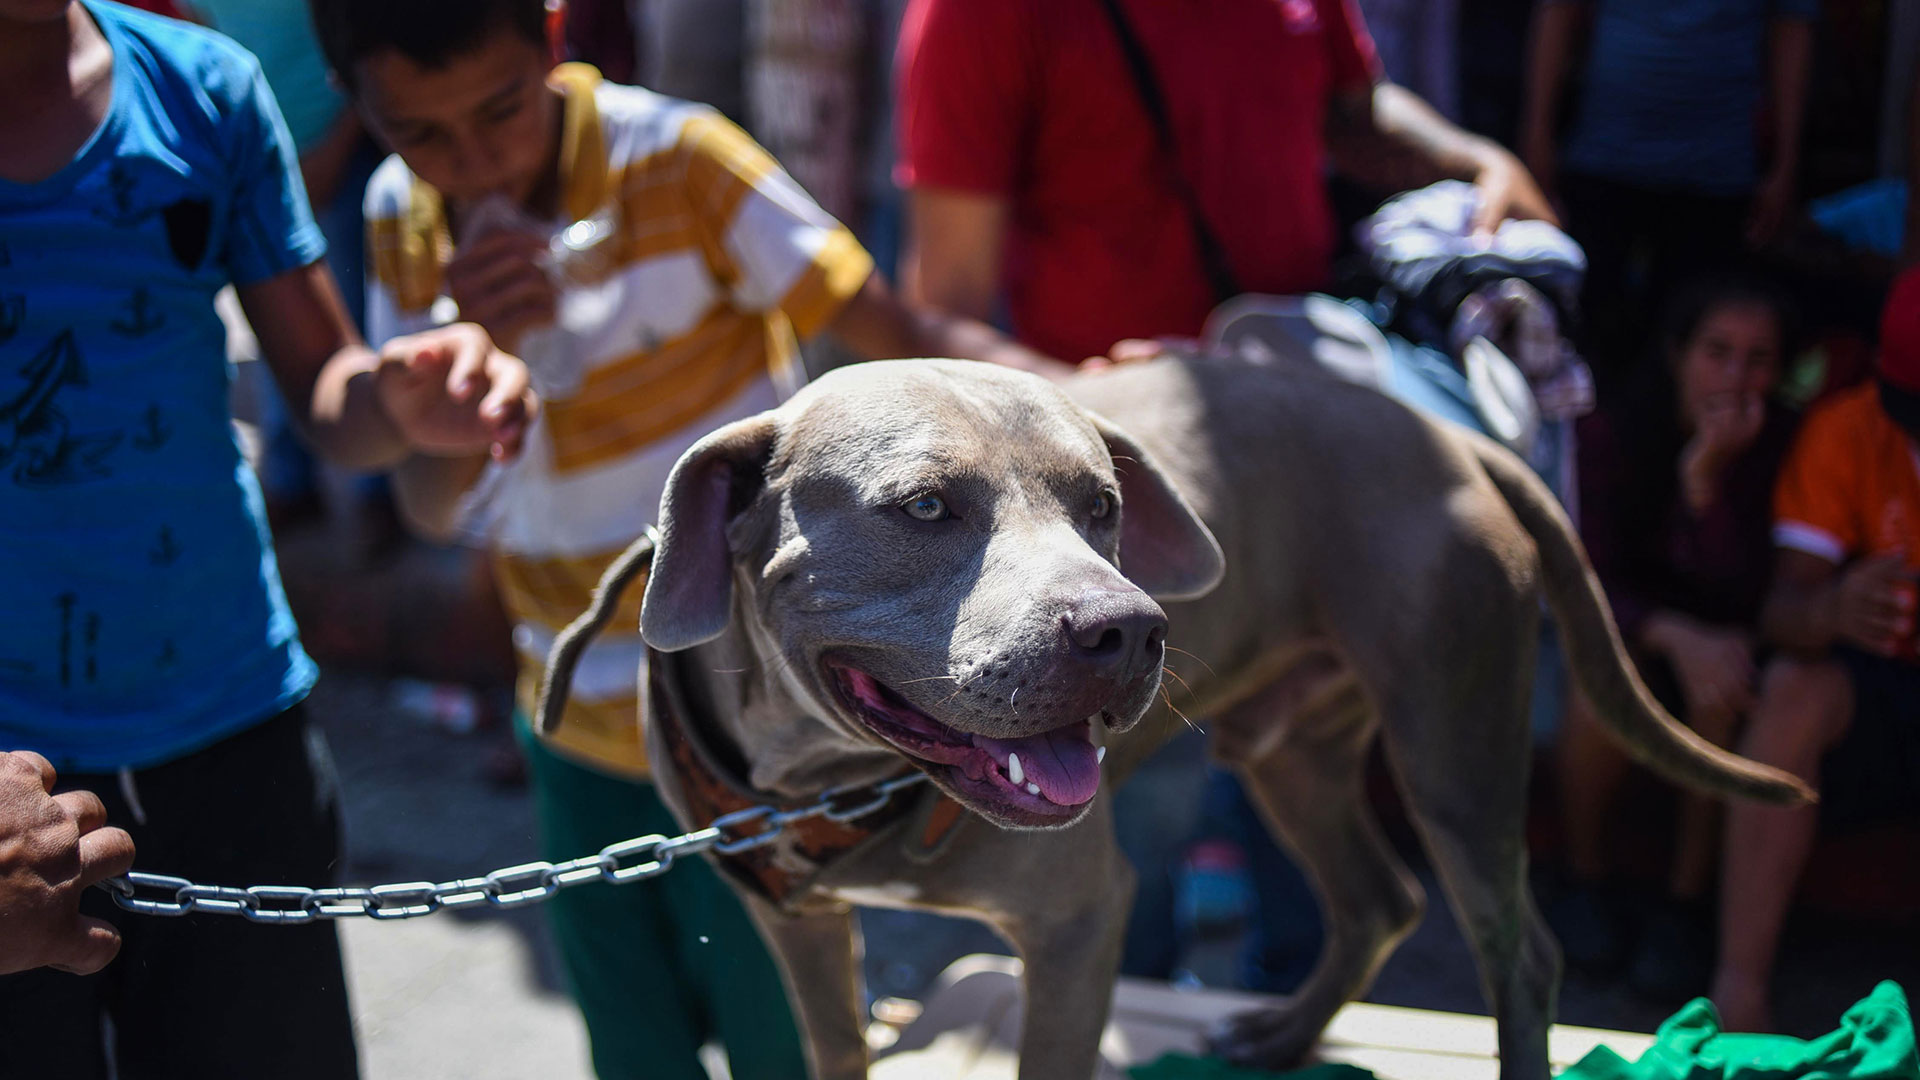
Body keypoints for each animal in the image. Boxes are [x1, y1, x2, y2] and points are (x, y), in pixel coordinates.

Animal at [545, 355, 1812, 1076]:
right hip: (1295, 753)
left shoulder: (1078, 921)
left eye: (1102, 505)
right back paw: (1281, 1039)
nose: (1128, 629)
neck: (824, 779)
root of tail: (1453, 438)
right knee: (1380, 899)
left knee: (1521, 952)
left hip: (1457, 744)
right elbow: (839, 1047)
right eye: (924, 506)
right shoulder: (797, 928)